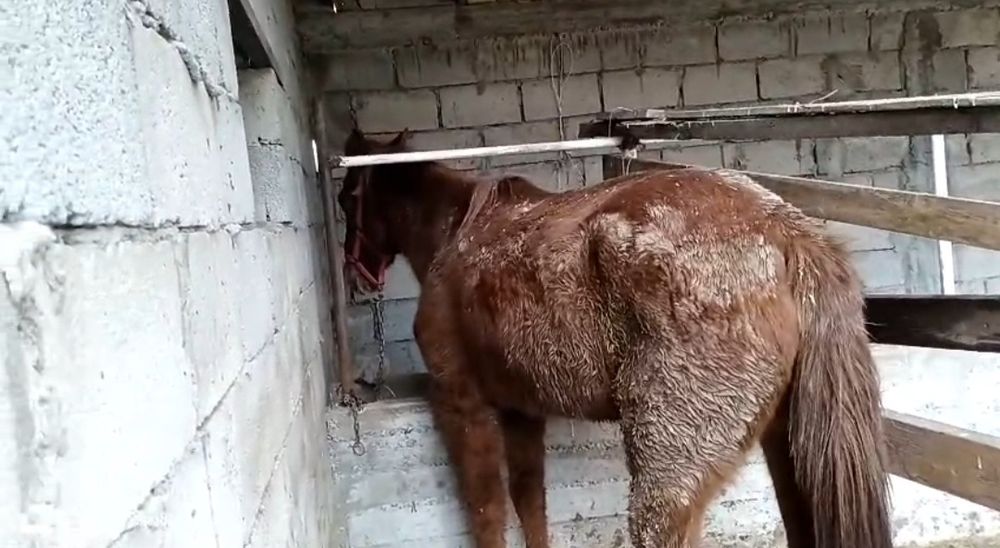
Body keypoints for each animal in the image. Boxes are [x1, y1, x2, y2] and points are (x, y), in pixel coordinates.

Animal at [337, 128, 893, 548]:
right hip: (787, 446)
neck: (455, 235)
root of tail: (788, 233)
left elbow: (487, 514)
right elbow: (529, 504)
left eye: (347, 198)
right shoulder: (521, 412)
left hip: (670, 471)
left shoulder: (462, 406)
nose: (356, 277)